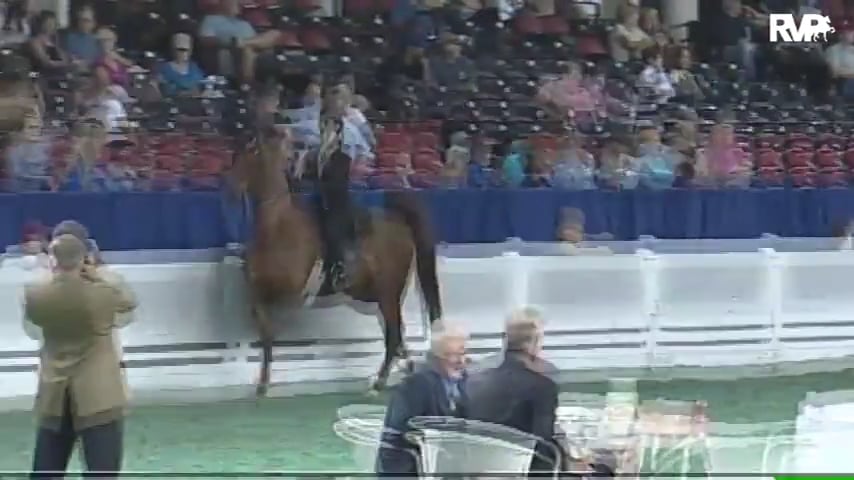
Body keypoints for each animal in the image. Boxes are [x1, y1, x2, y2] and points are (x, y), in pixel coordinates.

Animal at [228, 128, 443, 396]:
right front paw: (262, 384)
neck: (278, 227)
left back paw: (380, 382)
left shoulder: (291, 291)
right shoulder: (258, 291)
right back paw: (403, 365)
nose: (231, 187)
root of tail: (398, 220)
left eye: (253, 153)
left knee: (393, 334)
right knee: (398, 333)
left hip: (388, 293)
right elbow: (264, 330)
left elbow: (271, 327)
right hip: (374, 294)